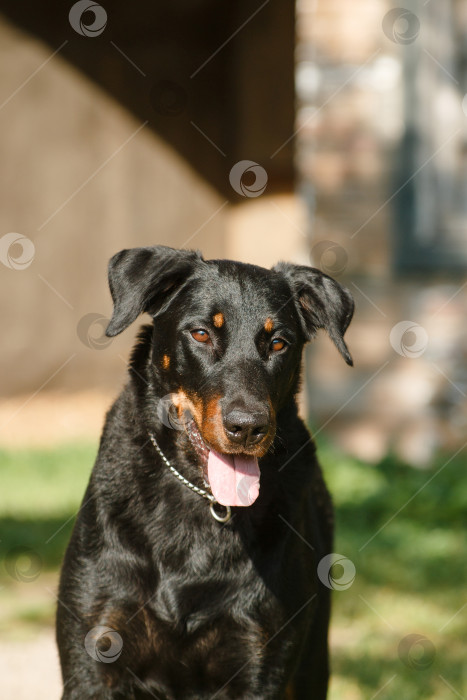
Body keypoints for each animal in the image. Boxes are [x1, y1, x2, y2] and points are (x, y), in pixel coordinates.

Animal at [55, 243, 354, 696]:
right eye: (200, 334)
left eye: (279, 343)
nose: (248, 426)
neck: (199, 498)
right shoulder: (93, 661)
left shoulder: (260, 665)